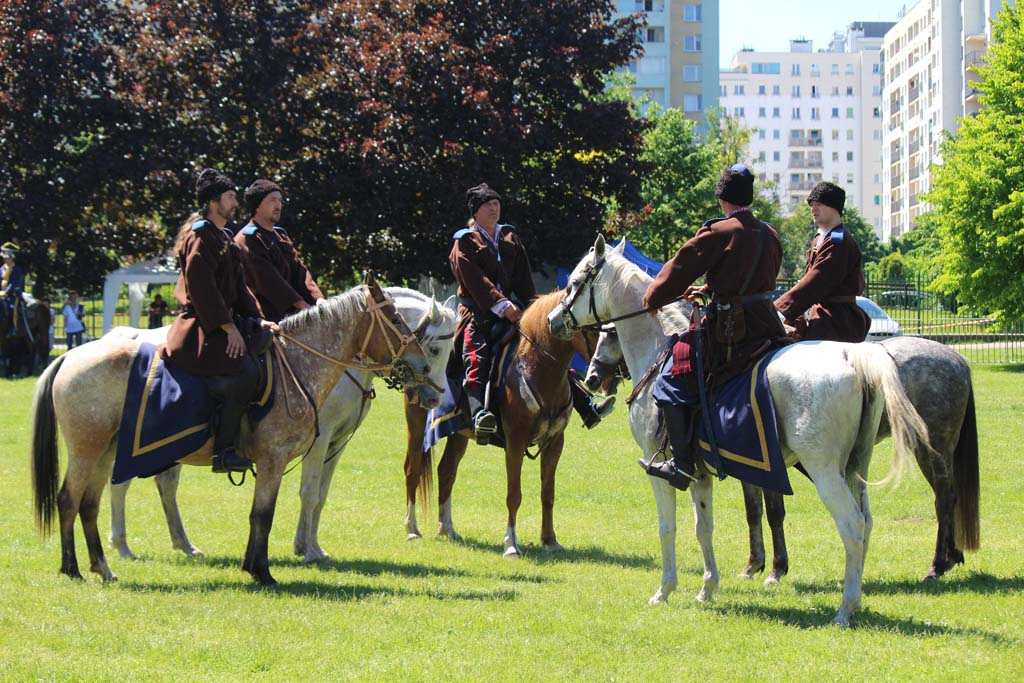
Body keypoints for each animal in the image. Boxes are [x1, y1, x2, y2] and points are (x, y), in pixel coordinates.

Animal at [30, 280, 440, 585]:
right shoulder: (277, 458)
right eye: (394, 318)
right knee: (69, 499)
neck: (300, 365)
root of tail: (70, 355)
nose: (424, 374)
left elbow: (281, 507)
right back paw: (74, 567)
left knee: (92, 503)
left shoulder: (322, 450)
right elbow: (265, 513)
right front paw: (264, 569)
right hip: (88, 449)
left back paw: (105, 566)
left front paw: (260, 562)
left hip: (107, 450)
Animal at [403, 290, 598, 557]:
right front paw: (511, 544)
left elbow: (547, 494)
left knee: (446, 471)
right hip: (417, 420)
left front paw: (550, 540)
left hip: (458, 433)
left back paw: (447, 528)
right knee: (412, 469)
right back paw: (412, 529)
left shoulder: (555, 443)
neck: (535, 366)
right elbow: (514, 495)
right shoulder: (515, 443)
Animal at [548, 237, 933, 626]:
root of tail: (851, 357)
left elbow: (667, 527)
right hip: (855, 469)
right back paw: (855, 599)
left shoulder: (658, 470)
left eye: (575, 283)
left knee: (852, 526)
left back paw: (844, 609)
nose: (553, 321)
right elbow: (703, 527)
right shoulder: (698, 473)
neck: (658, 351)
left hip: (826, 472)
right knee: (866, 524)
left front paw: (664, 590)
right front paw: (707, 588)